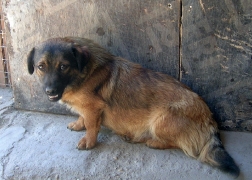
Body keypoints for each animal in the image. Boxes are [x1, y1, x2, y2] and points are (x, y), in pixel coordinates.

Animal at [27, 37, 240, 177]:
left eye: (63, 66)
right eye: (41, 67)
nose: (49, 90)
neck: (83, 72)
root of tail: (209, 118)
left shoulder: (93, 108)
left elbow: (92, 126)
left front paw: (88, 140)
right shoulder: (86, 109)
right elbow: (83, 119)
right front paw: (78, 124)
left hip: (162, 119)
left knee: (184, 145)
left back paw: (152, 141)